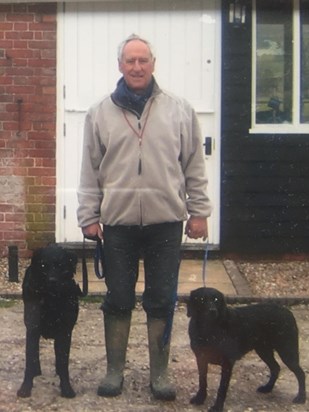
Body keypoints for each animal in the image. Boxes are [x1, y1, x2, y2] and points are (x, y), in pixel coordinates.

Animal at [17, 245, 82, 400]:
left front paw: (66, 388)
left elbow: (63, 361)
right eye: (43, 266)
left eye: (61, 265)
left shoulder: (65, 331)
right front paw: (25, 388)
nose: (52, 281)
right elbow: (30, 359)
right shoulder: (33, 329)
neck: (51, 299)